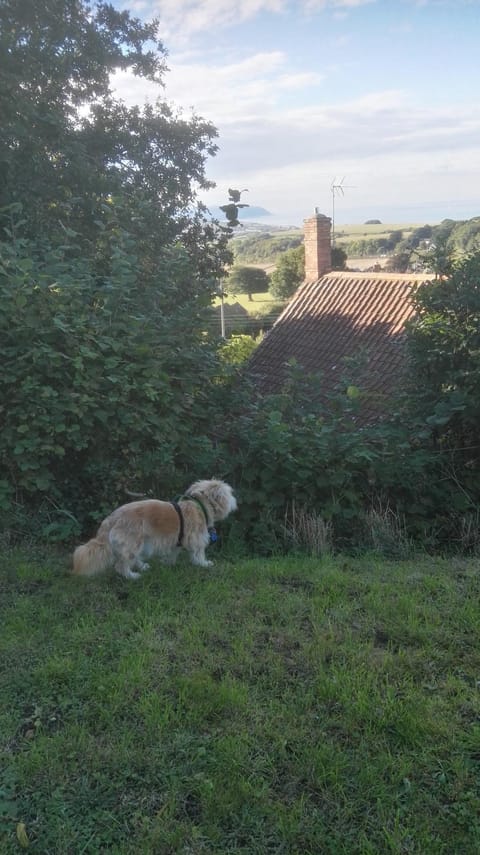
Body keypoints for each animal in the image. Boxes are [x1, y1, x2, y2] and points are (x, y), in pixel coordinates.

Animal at [71, 482, 236, 580]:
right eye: (230, 493)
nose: (235, 500)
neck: (199, 505)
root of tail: (112, 518)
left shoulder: (176, 541)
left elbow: (173, 553)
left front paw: (169, 563)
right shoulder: (197, 539)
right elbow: (199, 554)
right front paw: (204, 564)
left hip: (140, 543)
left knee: (132, 559)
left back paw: (142, 566)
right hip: (134, 543)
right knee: (121, 565)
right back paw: (132, 576)